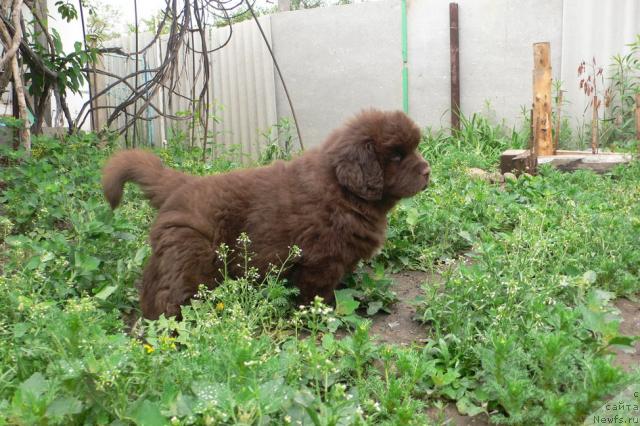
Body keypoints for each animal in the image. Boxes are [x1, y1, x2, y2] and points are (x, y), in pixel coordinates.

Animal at [102, 110, 428, 320]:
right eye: (397, 155)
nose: (428, 171)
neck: (343, 190)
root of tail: (182, 184)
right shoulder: (319, 261)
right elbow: (317, 293)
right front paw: (321, 315)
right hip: (190, 256)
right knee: (168, 295)